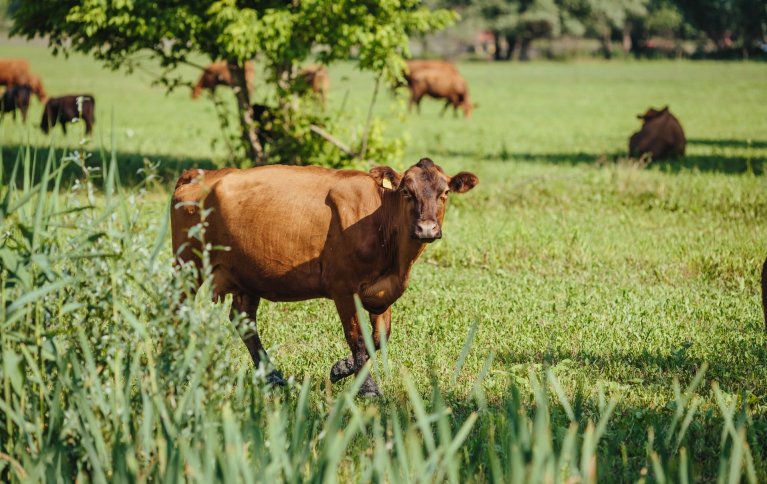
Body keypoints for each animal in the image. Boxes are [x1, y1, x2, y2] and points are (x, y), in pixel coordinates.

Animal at [171, 157, 476, 396]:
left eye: (444, 192)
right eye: (406, 192)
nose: (427, 229)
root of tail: (200, 174)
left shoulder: (382, 292)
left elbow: (379, 338)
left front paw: (341, 368)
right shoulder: (344, 288)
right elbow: (357, 338)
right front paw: (367, 388)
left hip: (246, 275)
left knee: (244, 321)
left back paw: (272, 376)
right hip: (188, 264)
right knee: (178, 309)